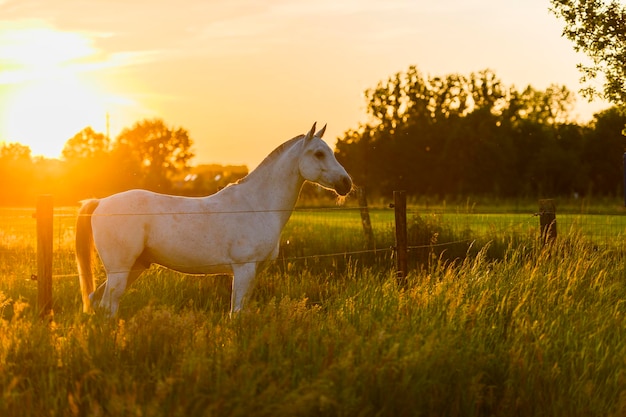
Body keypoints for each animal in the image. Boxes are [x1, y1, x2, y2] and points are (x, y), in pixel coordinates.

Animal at [75, 123, 352, 316]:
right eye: (318, 154)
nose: (346, 183)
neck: (256, 206)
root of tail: (100, 202)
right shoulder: (243, 269)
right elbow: (236, 314)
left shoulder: (254, 272)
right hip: (120, 270)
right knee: (108, 305)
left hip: (134, 268)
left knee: (98, 301)